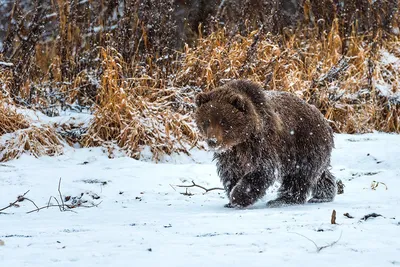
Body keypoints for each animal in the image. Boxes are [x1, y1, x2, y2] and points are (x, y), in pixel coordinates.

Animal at [194, 79, 334, 209]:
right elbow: (230, 171)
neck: (242, 140)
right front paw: (231, 198)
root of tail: (324, 120)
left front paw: (238, 197)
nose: (212, 141)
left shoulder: (261, 143)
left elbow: (263, 169)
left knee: (299, 176)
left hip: (304, 144)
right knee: (319, 173)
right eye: (206, 121)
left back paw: (282, 200)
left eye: (223, 121)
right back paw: (323, 195)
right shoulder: (230, 153)